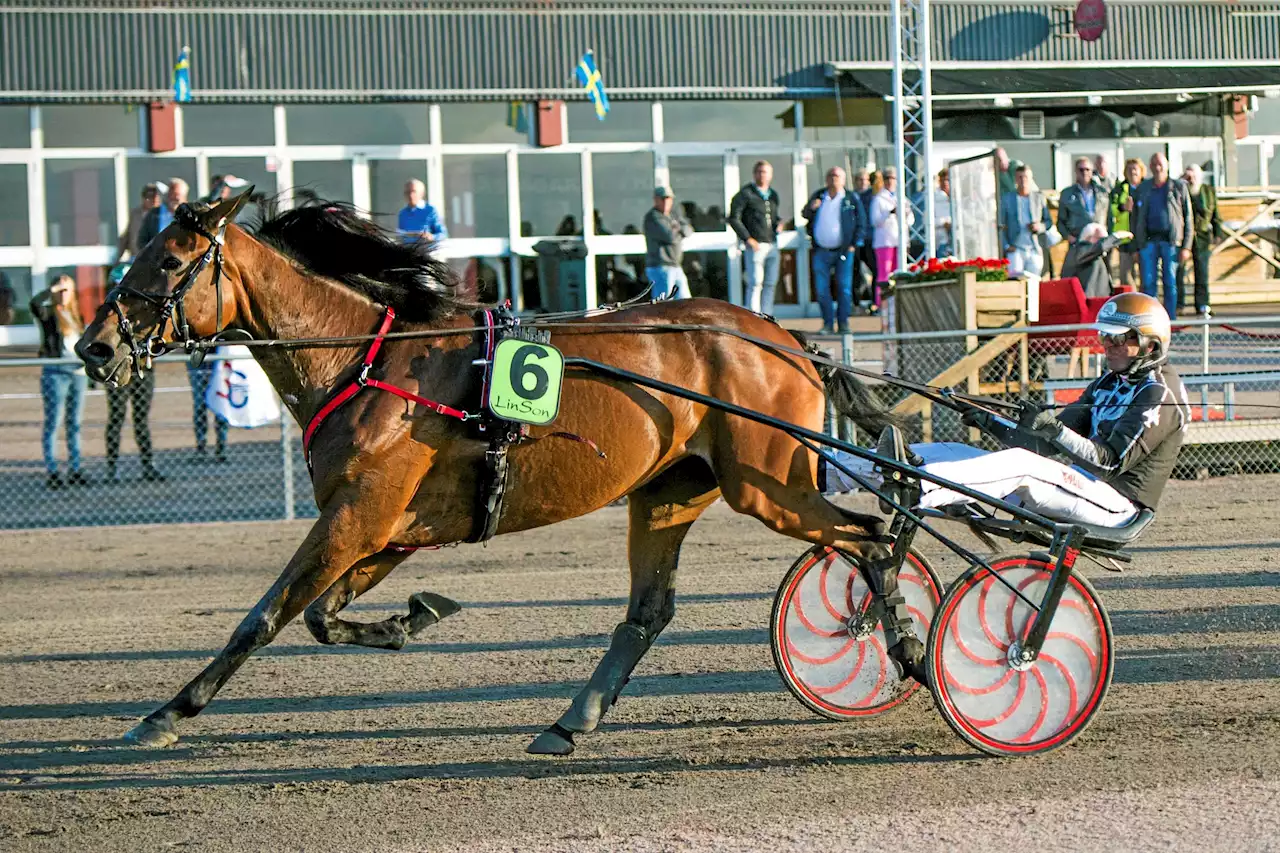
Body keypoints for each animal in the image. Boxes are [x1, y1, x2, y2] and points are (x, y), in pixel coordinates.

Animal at [74, 189, 911, 753]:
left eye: (170, 260)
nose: (93, 345)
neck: (365, 360)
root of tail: (784, 337)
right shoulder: (389, 529)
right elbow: (317, 614)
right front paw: (411, 617)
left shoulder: (360, 514)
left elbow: (265, 614)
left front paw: (167, 713)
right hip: (669, 492)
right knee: (648, 610)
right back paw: (570, 721)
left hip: (770, 486)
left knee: (871, 535)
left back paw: (900, 641)